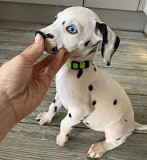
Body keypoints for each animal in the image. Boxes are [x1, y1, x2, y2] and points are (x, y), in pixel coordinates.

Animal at [35, 6, 147, 159]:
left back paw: (99, 148)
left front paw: (61, 138)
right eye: (55, 18)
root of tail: (133, 123)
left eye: (72, 29)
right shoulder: (60, 96)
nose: (38, 34)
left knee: (116, 142)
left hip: (115, 130)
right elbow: (53, 107)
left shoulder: (79, 111)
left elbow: (64, 123)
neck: (77, 68)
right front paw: (46, 117)